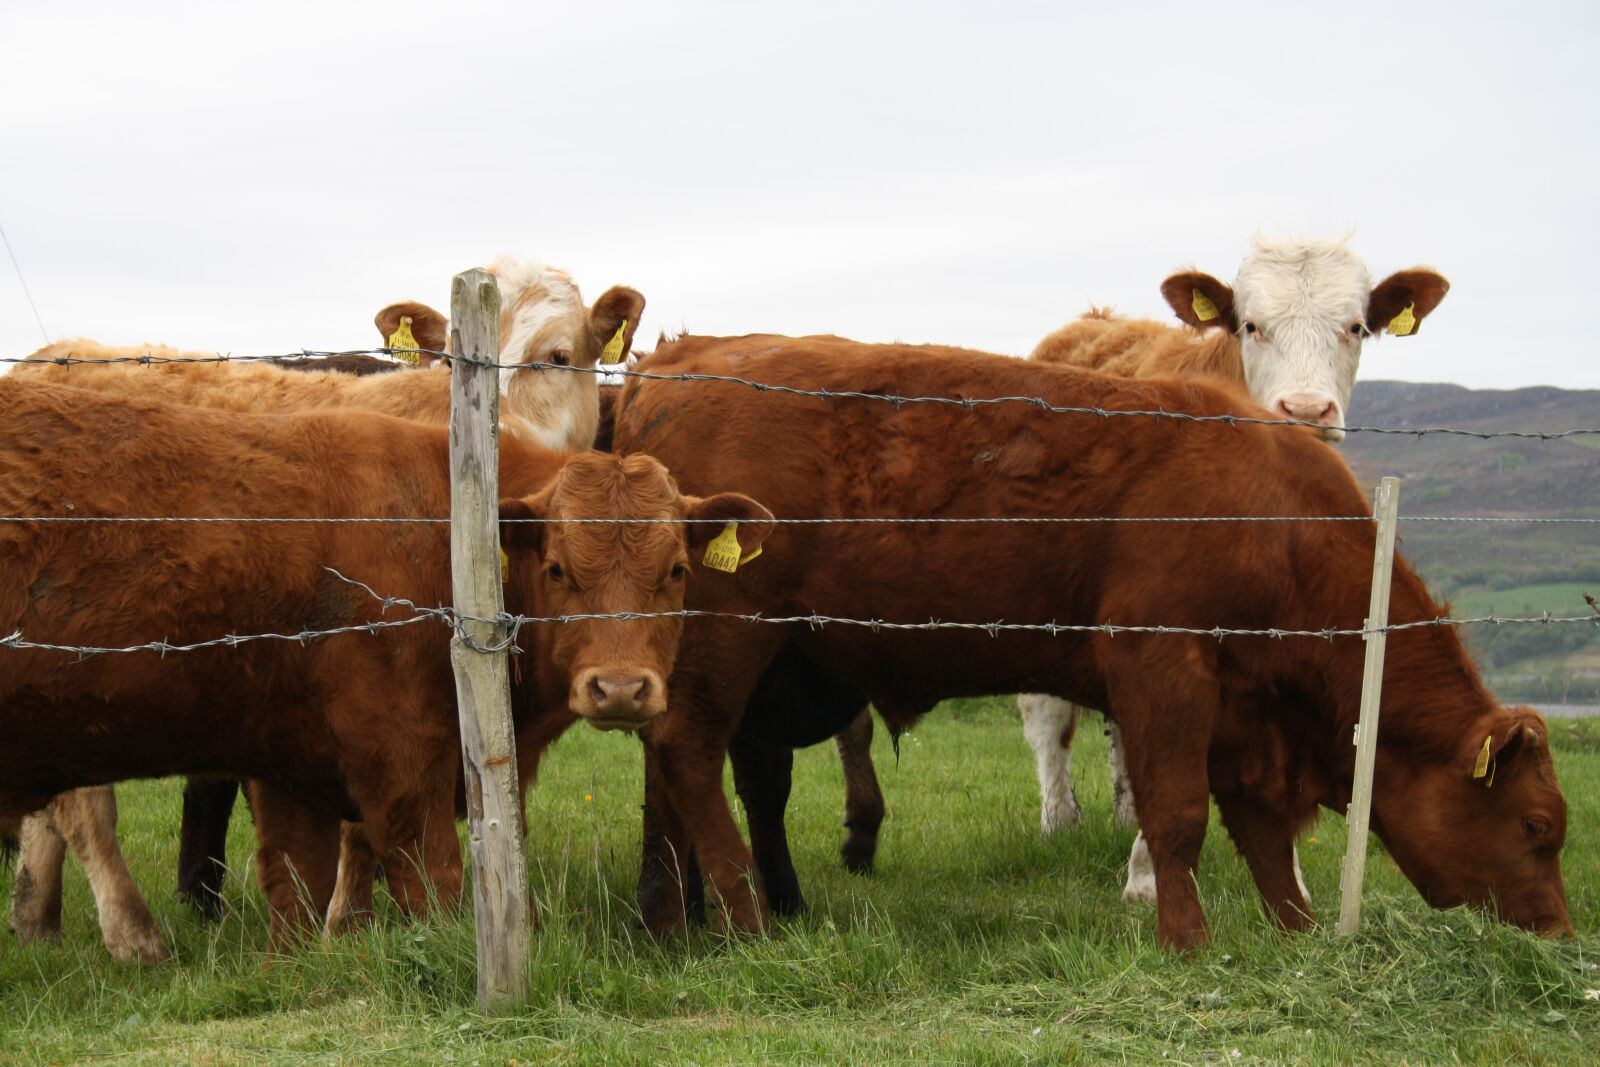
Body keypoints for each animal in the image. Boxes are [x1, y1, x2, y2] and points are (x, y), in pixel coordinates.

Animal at [0, 377, 770, 947]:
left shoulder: (291, 770)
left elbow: (295, 894)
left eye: (676, 571)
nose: (619, 688)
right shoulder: (399, 762)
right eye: (556, 568)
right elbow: (435, 884)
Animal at [611, 332, 1569, 951]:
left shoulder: (1245, 710)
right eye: (1537, 824)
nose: (1559, 930)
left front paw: (1296, 938)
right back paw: (743, 916)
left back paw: (666, 920)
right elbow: (1178, 817)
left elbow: (1260, 830)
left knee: (669, 772)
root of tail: (678, 360)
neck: (1277, 521)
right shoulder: (1160, 660)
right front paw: (1189, 940)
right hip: (731, 633)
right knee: (688, 751)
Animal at [1016, 238, 1450, 903]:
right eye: (1251, 325)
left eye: (1355, 326)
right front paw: (1147, 880)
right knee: (1046, 715)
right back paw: (1058, 821)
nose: (1304, 410)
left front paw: (1291, 878)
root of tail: (1093, 320)